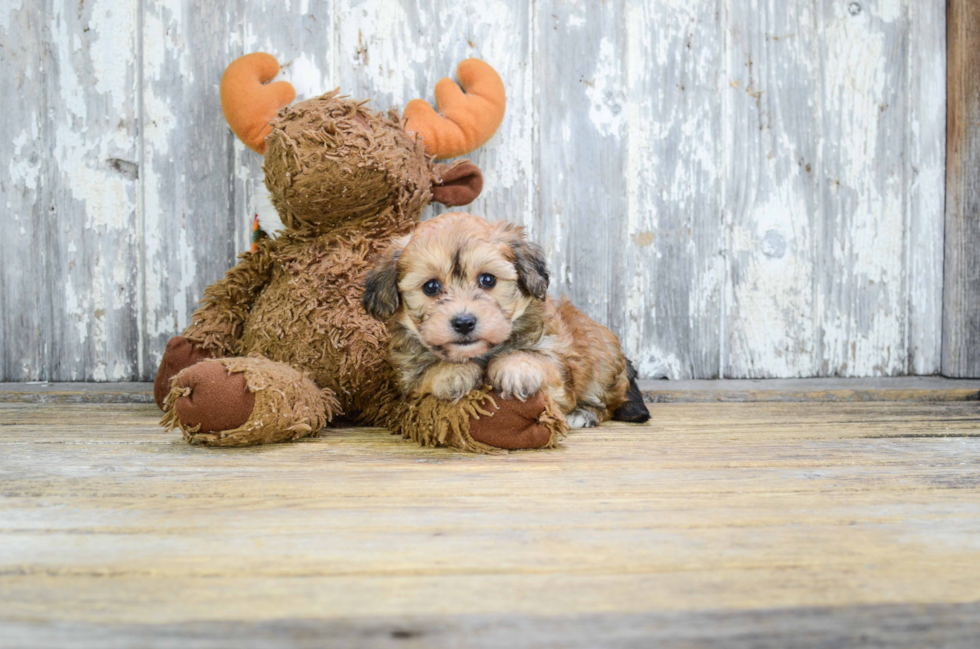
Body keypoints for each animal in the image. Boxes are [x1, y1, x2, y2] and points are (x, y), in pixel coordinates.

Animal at [362, 210, 652, 428]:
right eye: (431, 287)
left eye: (487, 280)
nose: (464, 322)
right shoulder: (407, 380)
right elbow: (426, 375)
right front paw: (453, 372)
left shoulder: (558, 365)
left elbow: (536, 360)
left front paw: (515, 367)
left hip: (601, 366)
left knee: (606, 402)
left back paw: (582, 415)